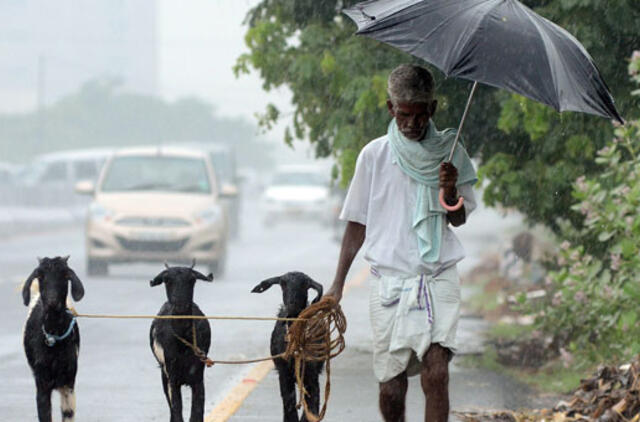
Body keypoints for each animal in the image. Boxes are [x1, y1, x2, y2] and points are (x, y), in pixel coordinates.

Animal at [21, 256, 85, 420]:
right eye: (40, 276)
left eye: (65, 275)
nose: (52, 301)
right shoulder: (42, 383)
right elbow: (44, 414)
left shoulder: (68, 383)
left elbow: (68, 413)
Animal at [149, 262, 214, 420]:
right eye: (166, 280)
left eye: (192, 279)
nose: (180, 306)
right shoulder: (172, 378)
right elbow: (177, 411)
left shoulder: (198, 377)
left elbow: (197, 414)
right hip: (164, 376)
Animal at [251, 272, 324, 420]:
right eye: (282, 283)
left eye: (305, 284)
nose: (292, 305)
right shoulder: (284, 372)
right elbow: (289, 404)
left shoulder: (311, 374)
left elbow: (312, 407)